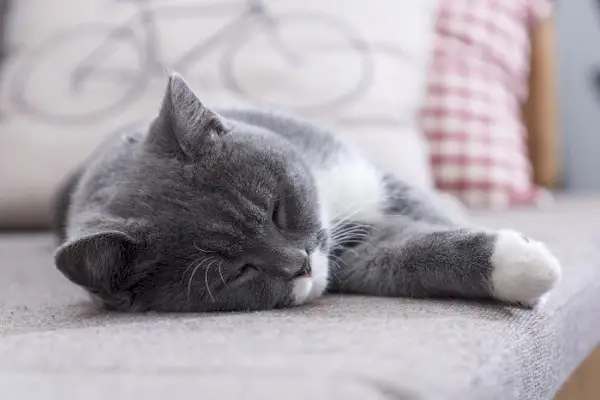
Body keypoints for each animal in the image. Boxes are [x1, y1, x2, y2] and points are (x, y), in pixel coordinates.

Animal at [52, 72, 564, 312]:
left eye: (276, 209)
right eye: (235, 271)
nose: (299, 264)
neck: (332, 206)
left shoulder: (373, 176)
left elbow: (426, 207)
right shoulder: (356, 256)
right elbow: (410, 254)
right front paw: (525, 268)